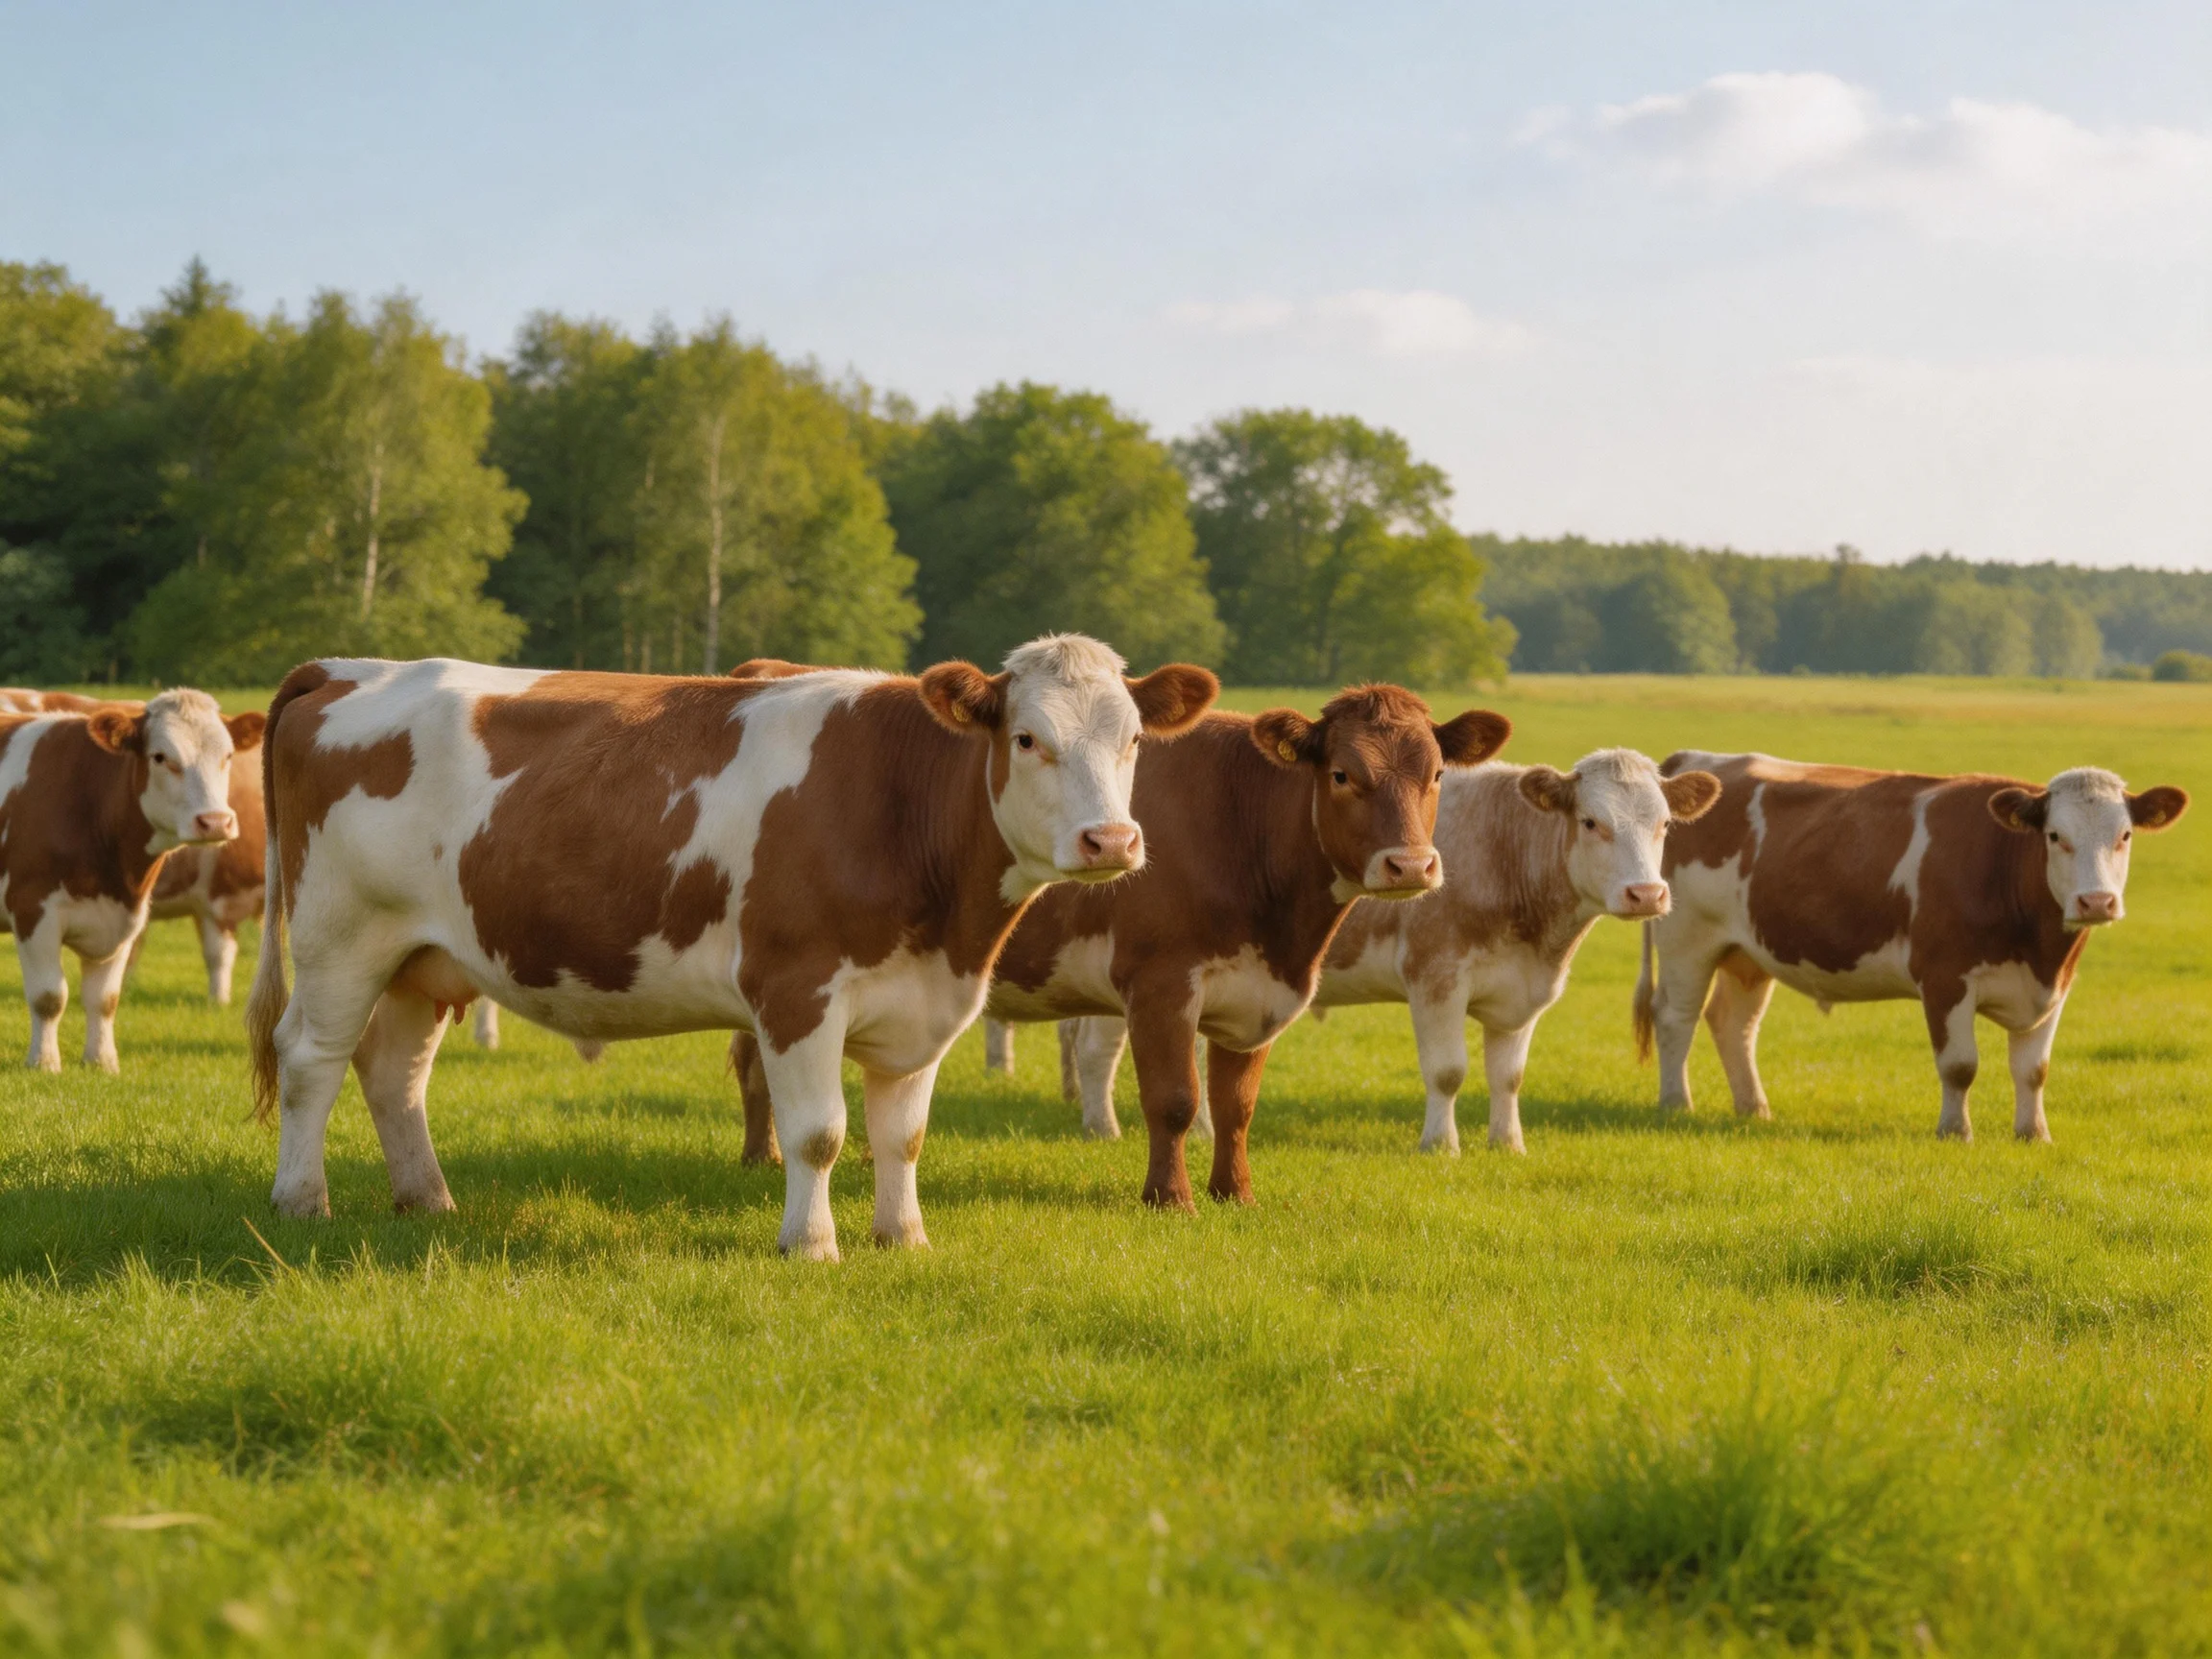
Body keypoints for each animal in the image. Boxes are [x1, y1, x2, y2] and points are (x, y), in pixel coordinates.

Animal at [0, 689, 262, 1070]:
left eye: (227, 755)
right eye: (160, 756)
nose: (215, 821)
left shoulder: (125, 917)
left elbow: (105, 999)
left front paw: (101, 1061)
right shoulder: (32, 910)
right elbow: (49, 997)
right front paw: (44, 1063)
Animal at [245, 638, 1218, 1258]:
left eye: (1134, 739)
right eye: (1027, 738)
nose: (1111, 840)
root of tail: (350, 668)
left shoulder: (924, 1001)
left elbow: (902, 1136)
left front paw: (903, 1238)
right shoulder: (796, 990)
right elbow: (820, 1133)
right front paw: (812, 1245)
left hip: (422, 958)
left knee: (394, 1070)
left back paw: (428, 1199)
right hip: (339, 936)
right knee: (310, 1059)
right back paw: (301, 1200)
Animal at [735, 686, 1511, 1211]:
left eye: (1437, 775)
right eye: (1344, 774)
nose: (1410, 866)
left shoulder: (1258, 992)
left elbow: (1236, 1105)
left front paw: (1235, 1192)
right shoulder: (1162, 983)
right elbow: (1174, 1099)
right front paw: (1170, 1199)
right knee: (754, 1065)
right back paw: (760, 1158)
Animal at [1058, 749, 1723, 1155]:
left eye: (1665, 824)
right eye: (1590, 822)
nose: (1647, 893)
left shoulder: (1522, 990)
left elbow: (1508, 1076)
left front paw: (1507, 1143)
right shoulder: (1436, 975)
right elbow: (1448, 1070)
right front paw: (1441, 1145)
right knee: (1097, 1049)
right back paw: (1102, 1129)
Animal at [1636, 752, 2189, 1141]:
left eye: (2125, 835)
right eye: (2055, 835)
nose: (2097, 901)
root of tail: (1696, 760)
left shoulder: (2054, 987)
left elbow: (2034, 1070)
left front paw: (2034, 1135)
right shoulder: (1944, 979)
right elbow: (1960, 1065)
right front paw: (1955, 1132)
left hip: (1748, 952)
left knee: (1734, 1023)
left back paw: (1755, 1109)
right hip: (1686, 937)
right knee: (1676, 1017)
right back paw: (1675, 1103)